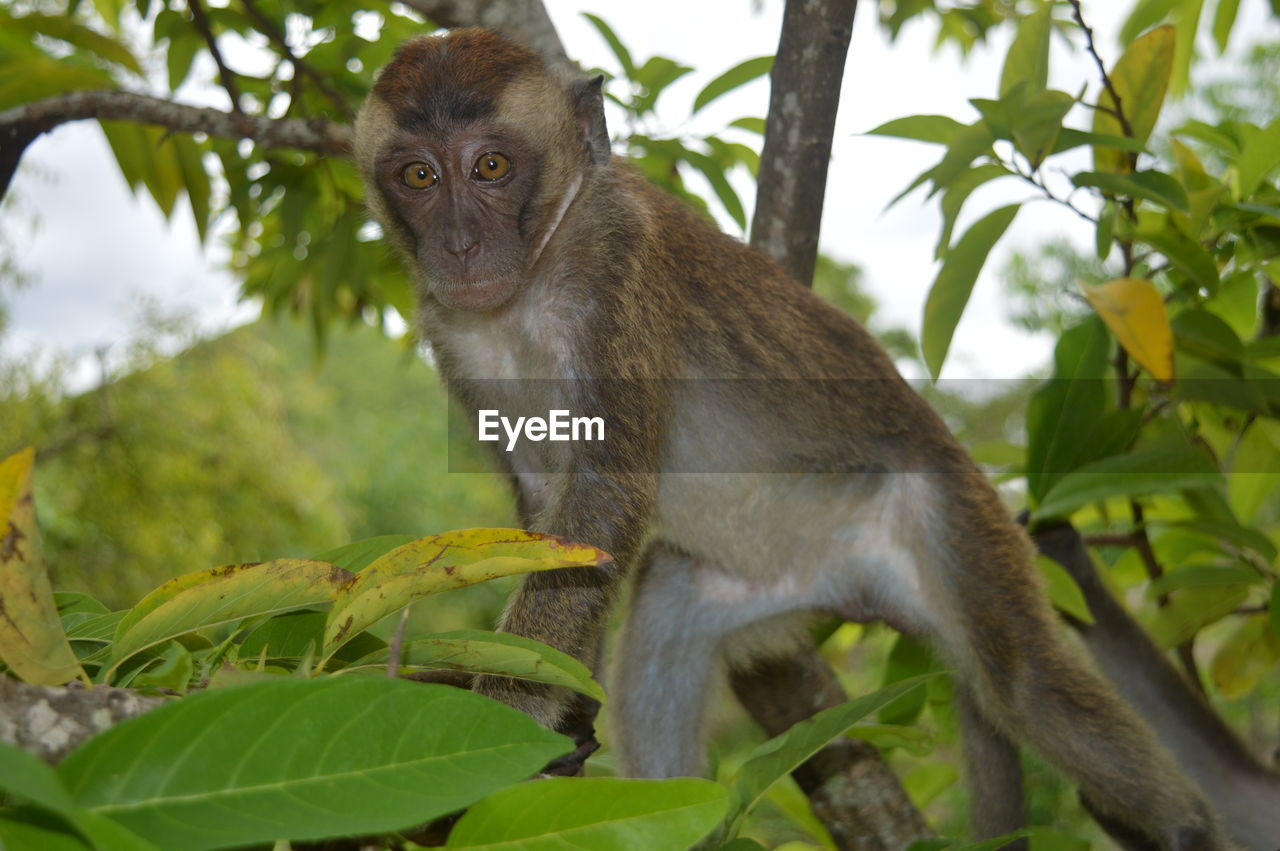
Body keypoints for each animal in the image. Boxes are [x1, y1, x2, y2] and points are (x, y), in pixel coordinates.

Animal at [355, 28, 1233, 849]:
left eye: (492, 166)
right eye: (420, 177)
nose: (460, 245)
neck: (530, 282)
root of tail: (866, 584)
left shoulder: (615, 273)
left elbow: (604, 500)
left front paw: (496, 732)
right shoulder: (451, 331)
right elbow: (554, 527)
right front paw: (553, 732)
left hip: (950, 514)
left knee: (1026, 680)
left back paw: (1187, 825)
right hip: (768, 576)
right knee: (667, 621)